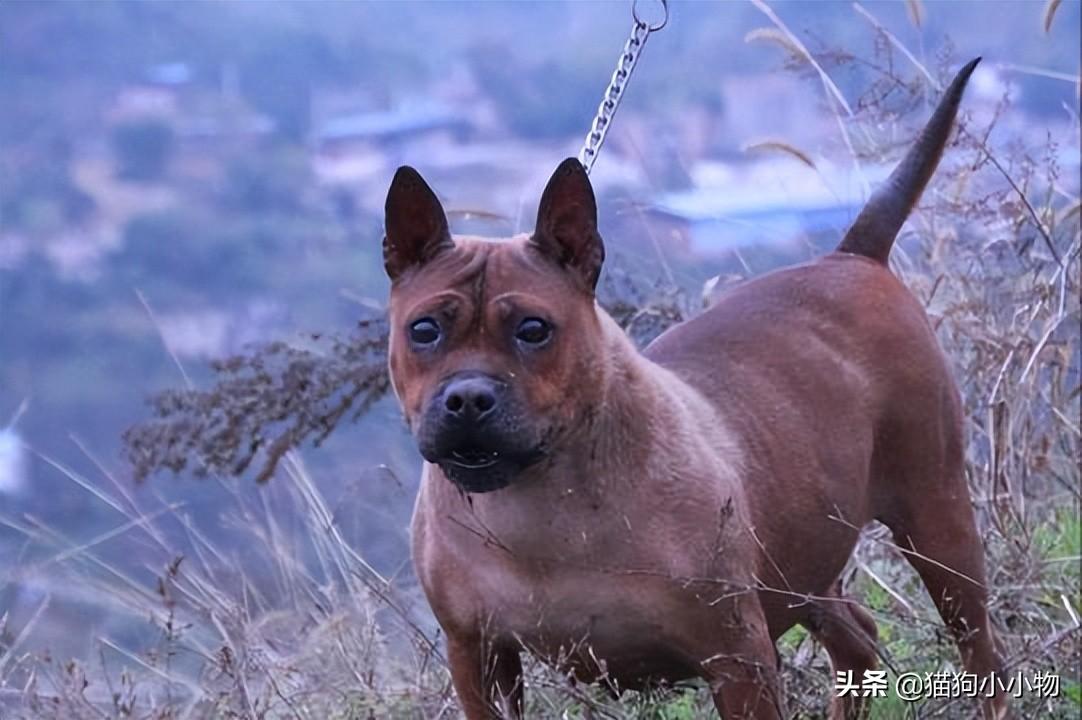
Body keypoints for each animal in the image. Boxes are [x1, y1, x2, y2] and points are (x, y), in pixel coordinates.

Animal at [380, 59, 1004, 714]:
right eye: (424, 330)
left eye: (533, 329)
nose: (467, 398)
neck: (537, 499)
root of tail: (852, 258)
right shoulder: (478, 658)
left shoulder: (737, 659)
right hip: (804, 558)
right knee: (856, 636)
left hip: (936, 520)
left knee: (978, 645)